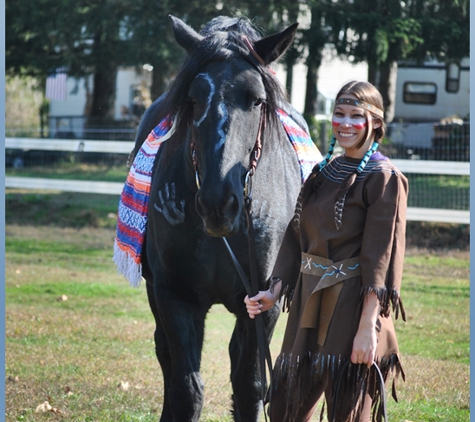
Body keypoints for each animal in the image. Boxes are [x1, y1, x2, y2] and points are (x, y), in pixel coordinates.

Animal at [131, 14, 320, 422]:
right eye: (193, 99)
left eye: (257, 100)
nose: (219, 202)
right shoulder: (174, 296)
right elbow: (186, 388)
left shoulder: (263, 302)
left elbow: (249, 387)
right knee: (167, 357)